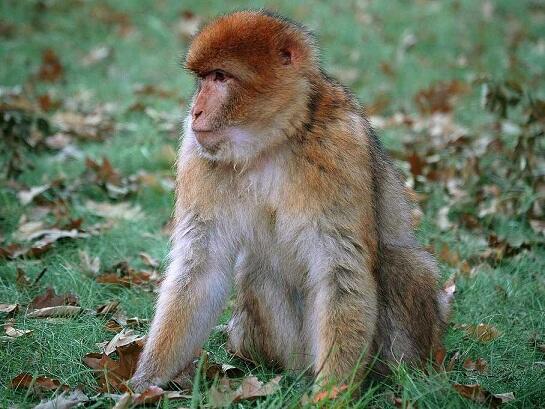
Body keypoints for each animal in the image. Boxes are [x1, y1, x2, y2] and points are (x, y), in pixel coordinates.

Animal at [130, 10, 448, 392]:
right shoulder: (197, 152)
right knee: (257, 270)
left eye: (220, 77)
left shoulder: (339, 146)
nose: (195, 112)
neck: (273, 141)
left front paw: (331, 394)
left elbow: (341, 271)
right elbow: (202, 265)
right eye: (203, 79)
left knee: (403, 264)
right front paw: (143, 383)